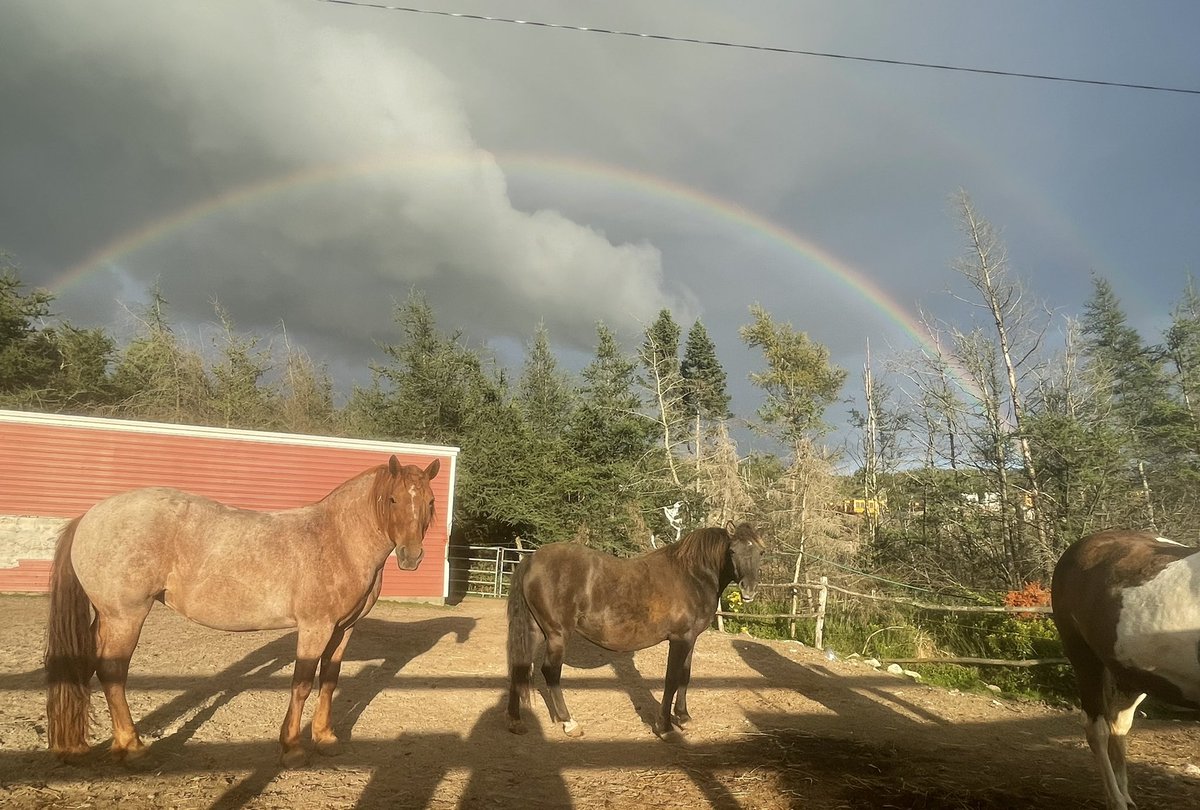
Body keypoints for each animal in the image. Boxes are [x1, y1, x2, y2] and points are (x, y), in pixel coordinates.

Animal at [44, 455, 440, 767]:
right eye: (393, 499)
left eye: (431, 502)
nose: (411, 557)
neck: (336, 539)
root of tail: (89, 516)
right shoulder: (315, 627)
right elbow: (302, 684)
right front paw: (292, 748)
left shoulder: (343, 629)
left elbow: (329, 681)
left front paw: (326, 740)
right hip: (126, 616)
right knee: (112, 673)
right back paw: (134, 748)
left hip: (108, 618)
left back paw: (101, 747)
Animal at [505, 521, 765, 739]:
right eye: (732, 551)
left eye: (761, 553)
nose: (749, 590)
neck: (692, 575)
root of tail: (531, 560)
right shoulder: (680, 639)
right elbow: (672, 678)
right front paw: (665, 727)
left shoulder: (691, 639)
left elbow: (685, 675)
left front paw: (683, 717)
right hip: (557, 634)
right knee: (550, 671)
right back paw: (569, 723)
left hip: (535, 630)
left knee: (519, 666)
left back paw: (515, 721)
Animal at [1051, 529, 1200, 810]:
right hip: (1084, 658)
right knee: (1096, 729)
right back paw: (1117, 799)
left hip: (1132, 675)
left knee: (1118, 726)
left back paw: (1127, 797)